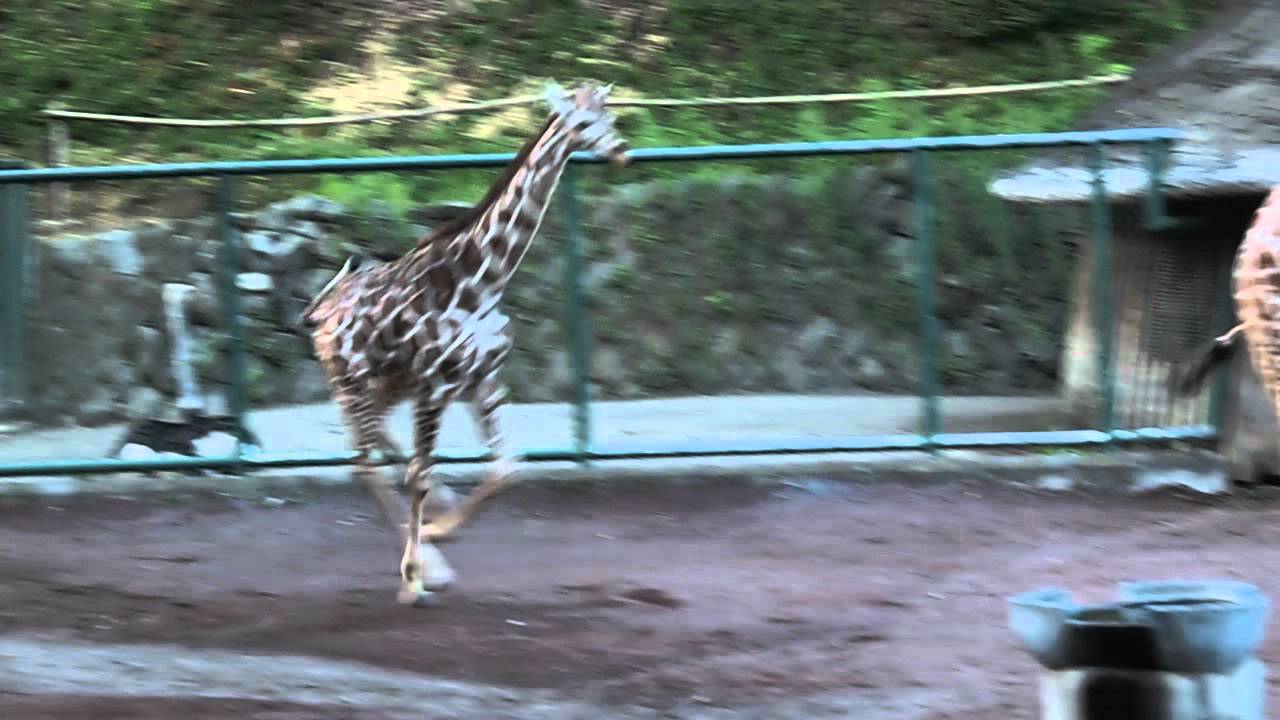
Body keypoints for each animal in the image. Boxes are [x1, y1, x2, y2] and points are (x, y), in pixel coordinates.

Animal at [304, 81, 630, 606]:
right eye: (581, 123)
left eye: (612, 115)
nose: (621, 152)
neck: (481, 279)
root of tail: (318, 312)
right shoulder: (436, 386)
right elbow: (420, 475)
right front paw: (415, 577)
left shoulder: (481, 378)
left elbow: (507, 469)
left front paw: (436, 533)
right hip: (352, 382)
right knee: (364, 465)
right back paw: (425, 566)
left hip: (383, 386)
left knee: (372, 451)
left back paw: (435, 534)